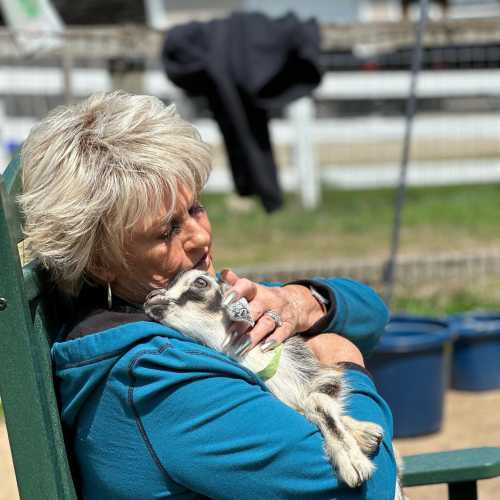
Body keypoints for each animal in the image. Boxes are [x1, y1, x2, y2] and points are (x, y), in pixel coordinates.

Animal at [144, 270, 402, 496]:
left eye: (200, 282)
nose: (151, 298)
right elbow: (303, 409)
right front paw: (361, 444)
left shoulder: (322, 374)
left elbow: (316, 401)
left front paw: (354, 462)